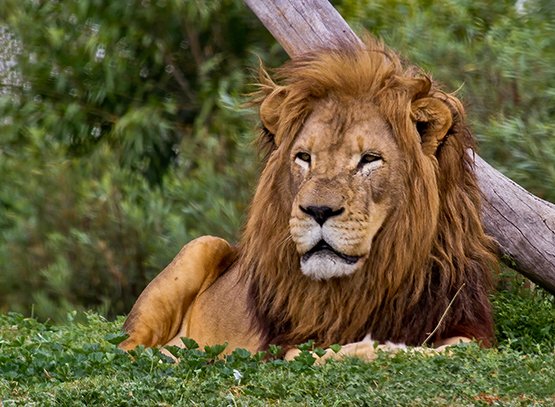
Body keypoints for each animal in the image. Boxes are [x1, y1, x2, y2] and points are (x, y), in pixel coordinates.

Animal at [119, 39, 498, 364]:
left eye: (369, 159)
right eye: (304, 157)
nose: (318, 211)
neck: (375, 277)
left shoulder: (467, 325)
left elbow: (456, 348)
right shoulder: (286, 343)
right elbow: (329, 352)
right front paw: (370, 348)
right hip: (202, 246)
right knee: (127, 347)